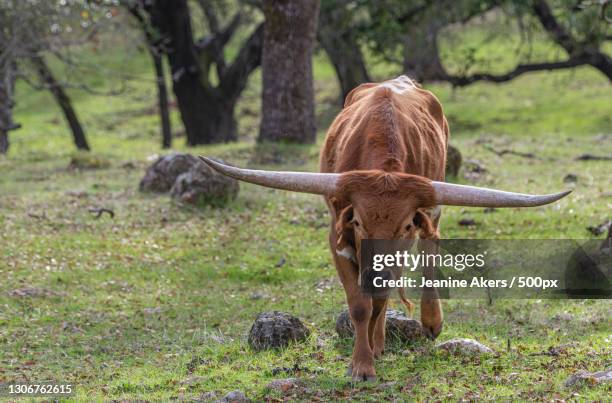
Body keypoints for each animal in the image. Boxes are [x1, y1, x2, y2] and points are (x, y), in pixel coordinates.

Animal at [200, 75, 568, 382]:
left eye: (404, 225)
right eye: (359, 221)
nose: (376, 272)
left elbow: (379, 298)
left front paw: (371, 353)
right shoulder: (338, 239)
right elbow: (360, 305)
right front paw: (362, 364)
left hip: (432, 215)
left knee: (425, 259)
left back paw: (428, 321)